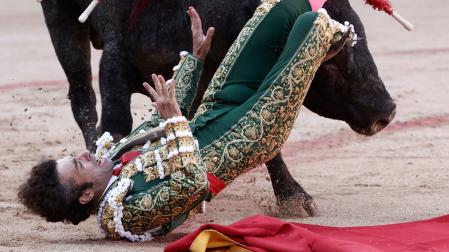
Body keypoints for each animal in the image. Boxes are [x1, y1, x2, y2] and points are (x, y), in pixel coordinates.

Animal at [39, 0, 396, 216]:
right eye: (332, 63)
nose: (386, 111)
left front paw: (294, 197)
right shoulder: (115, 62)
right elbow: (115, 122)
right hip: (63, 24)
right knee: (82, 95)